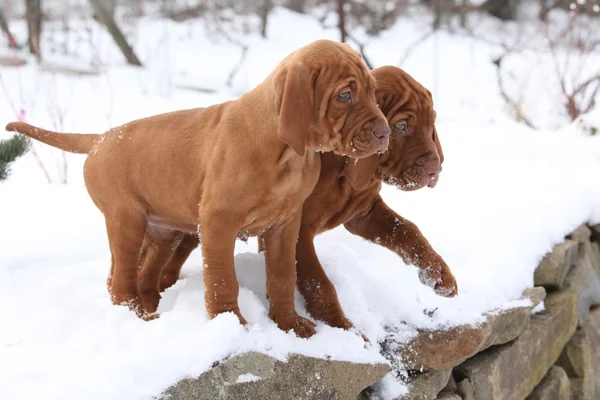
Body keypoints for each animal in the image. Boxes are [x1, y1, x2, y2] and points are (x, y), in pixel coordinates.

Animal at [4, 39, 390, 338]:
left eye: (374, 93)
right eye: (344, 95)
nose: (385, 133)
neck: (288, 155)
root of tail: (99, 138)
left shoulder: (285, 225)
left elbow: (282, 276)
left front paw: (289, 323)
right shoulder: (219, 222)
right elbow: (222, 279)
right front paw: (231, 323)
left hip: (162, 232)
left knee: (142, 274)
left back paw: (152, 307)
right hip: (126, 221)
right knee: (121, 281)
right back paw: (141, 318)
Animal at [148, 65, 458, 330]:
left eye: (431, 123)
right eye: (402, 126)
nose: (436, 170)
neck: (342, 166)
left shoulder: (364, 213)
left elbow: (407, 230)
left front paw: (438, 273)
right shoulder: (299, 231)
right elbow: (319, 283)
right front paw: (344, 329)